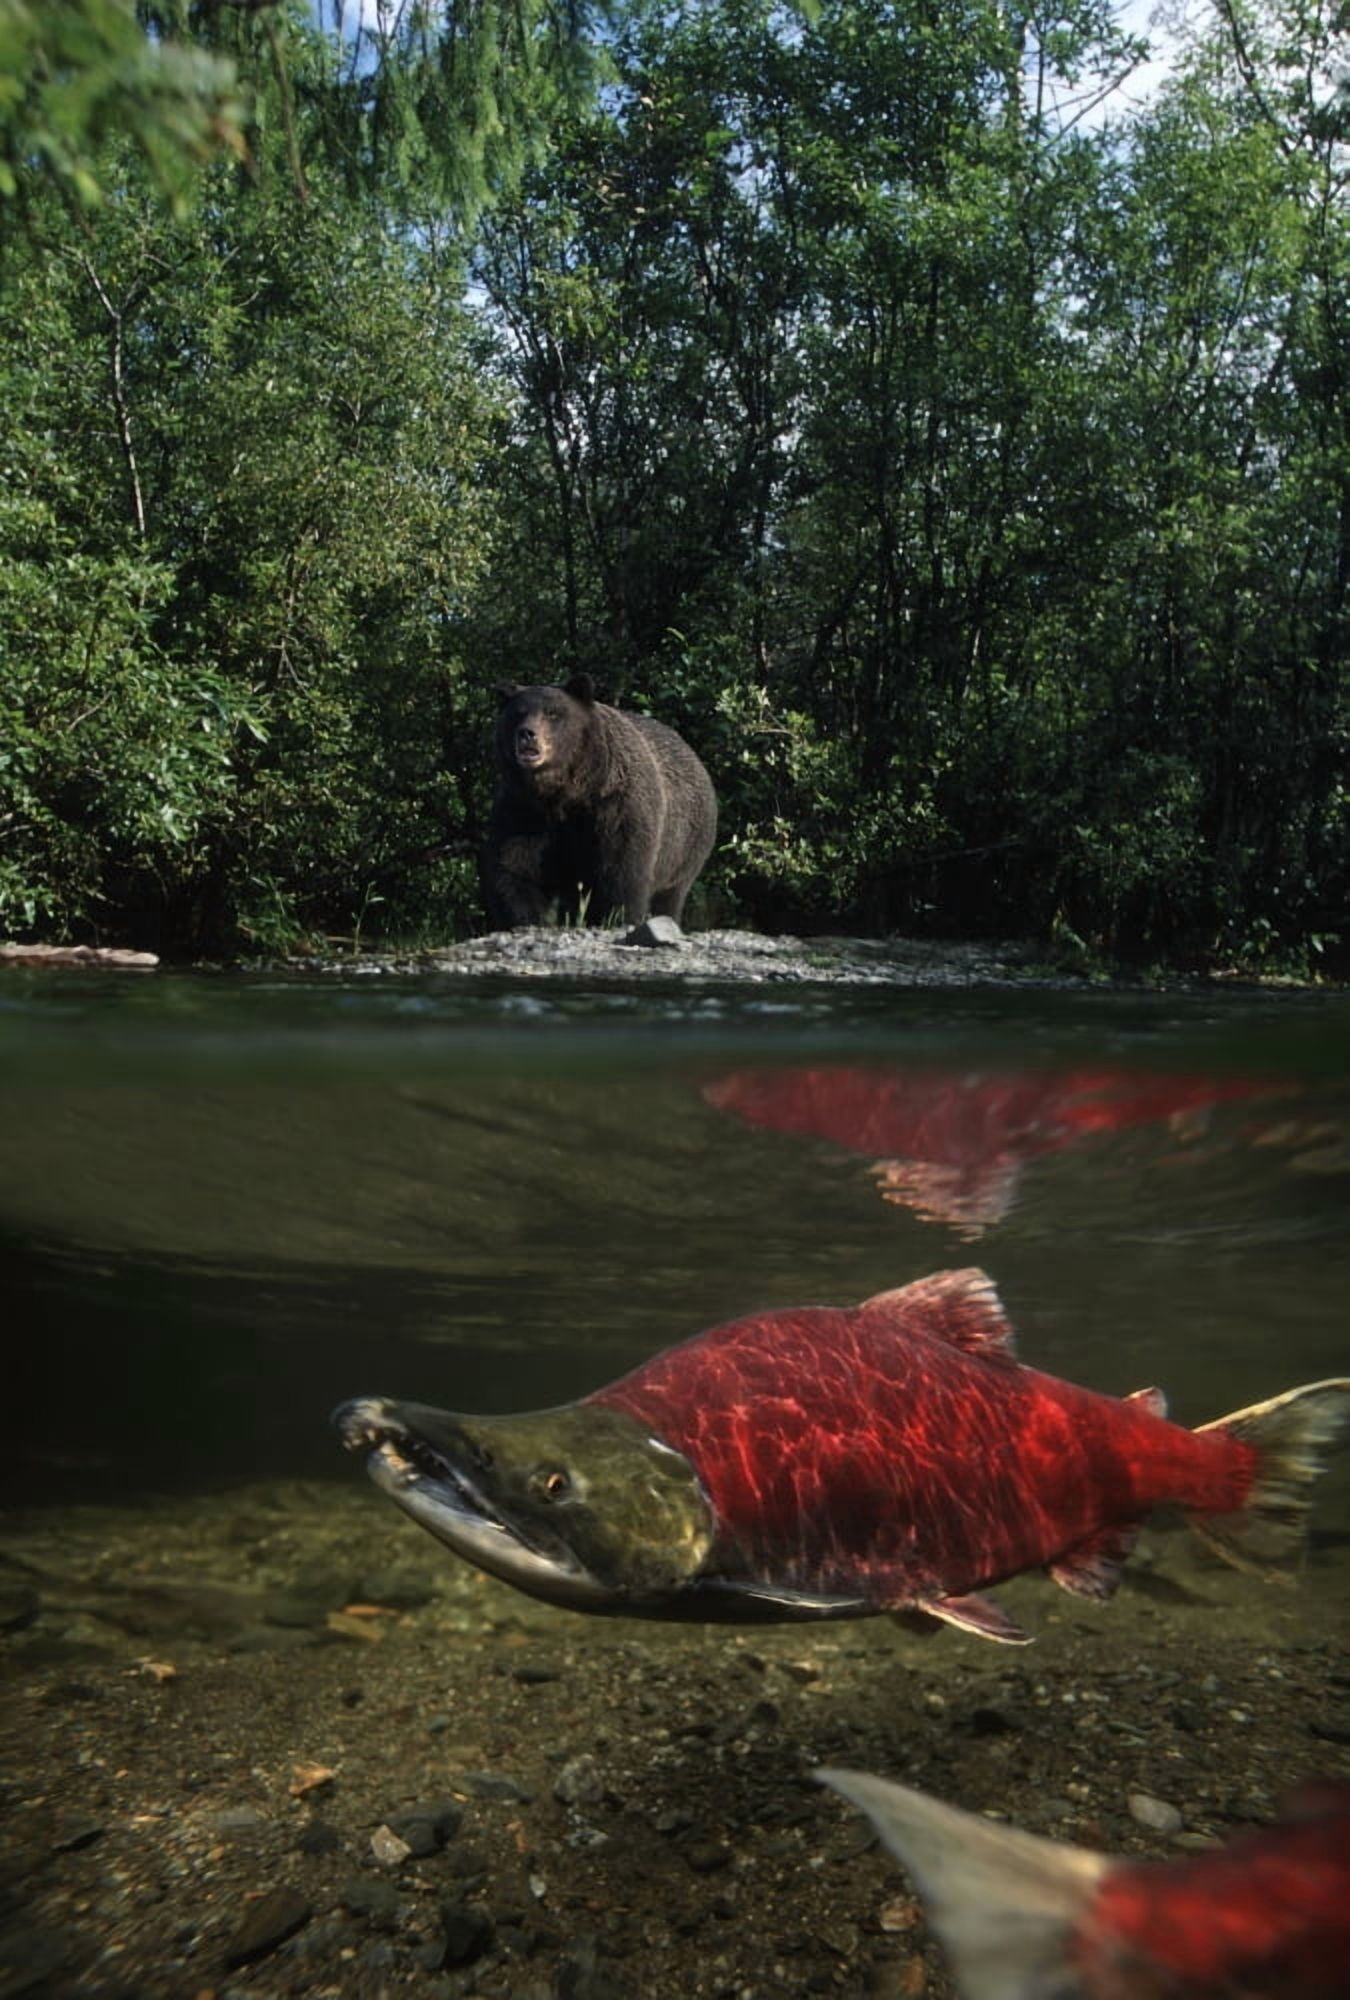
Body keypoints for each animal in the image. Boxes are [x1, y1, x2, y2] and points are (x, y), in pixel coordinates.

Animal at [481, 675, 718, 931]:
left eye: (553, 713)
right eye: (518, 713)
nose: (527, 733)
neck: (566, 793)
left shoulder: (616, 806)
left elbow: (622, 872)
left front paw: (618, 917)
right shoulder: (525, 811)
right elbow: (514, 869)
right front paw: (525, 919)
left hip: (684, 847)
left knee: (670, 895)